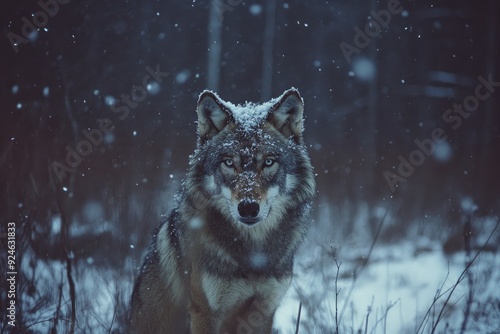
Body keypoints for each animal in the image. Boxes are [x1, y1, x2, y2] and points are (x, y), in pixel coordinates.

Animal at [130, 87, 316, 332]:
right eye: (229, 163)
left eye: (268, 162)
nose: (248, 208)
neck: (252, 255)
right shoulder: (204, 312)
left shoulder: (264, 311)